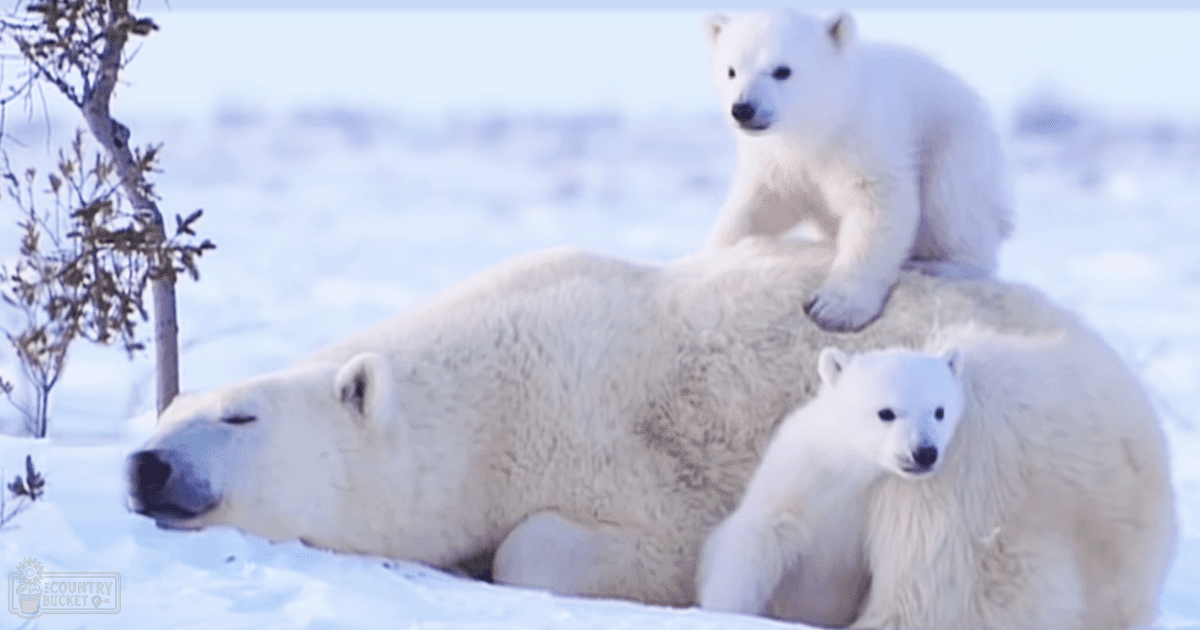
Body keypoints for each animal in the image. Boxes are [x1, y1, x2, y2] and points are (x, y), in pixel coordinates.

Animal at [696, 345, 965, 628]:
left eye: (939, 411)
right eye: (886, 412)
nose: (924, 453)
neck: (845, 471)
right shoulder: (792, 478)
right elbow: (755, 541)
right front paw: (720, 612)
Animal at [704, 9, 1013, 332]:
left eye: (782, 70)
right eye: (731, 70)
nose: (743, 109)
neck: (821, 125)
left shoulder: (863, 141)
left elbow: (878, 208)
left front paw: (834, 308)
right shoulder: (775, 161)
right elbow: (759, 207)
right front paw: (718, 251)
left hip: (959, 148)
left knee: (952, 206)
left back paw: (940, 264)